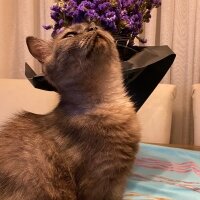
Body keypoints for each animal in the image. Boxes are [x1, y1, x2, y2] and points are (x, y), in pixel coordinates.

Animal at [0, 22, 141, 199]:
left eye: (95, 24)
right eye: (70, 35)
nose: (93, 28)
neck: (107, 100)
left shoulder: (117, 182)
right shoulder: (102, 183)